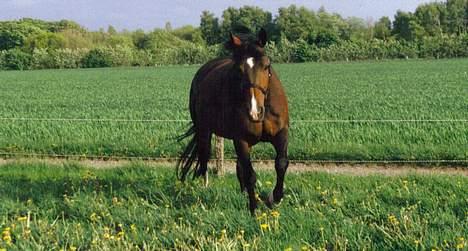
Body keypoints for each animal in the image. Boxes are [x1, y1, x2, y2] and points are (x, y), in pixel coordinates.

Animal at [177, 28, 288, 214]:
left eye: (266, 65)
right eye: (239, 70)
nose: (255, 111)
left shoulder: (281, 133)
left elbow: (281, 163)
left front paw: (275, 198)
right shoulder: (241, 140)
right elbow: (250, 175)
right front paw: (254, 209)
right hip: (204, 131)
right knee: (204, 159)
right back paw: (204, 192)